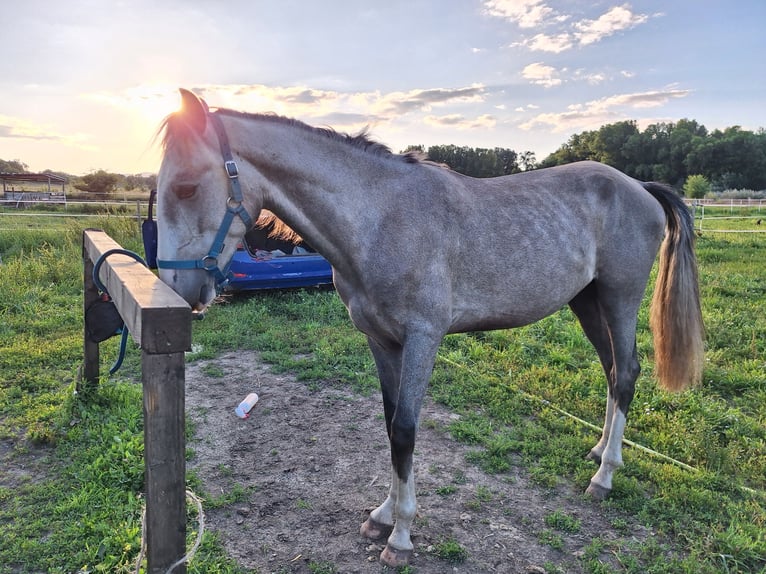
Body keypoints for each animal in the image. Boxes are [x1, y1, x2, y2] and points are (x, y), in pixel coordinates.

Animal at [156, 89, 708, 568]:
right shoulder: (381, 341)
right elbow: (389, 424)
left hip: (619, 299)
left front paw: (400, 536)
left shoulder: (424, 338)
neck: (381, 219)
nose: (179, 292)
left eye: (185, 187)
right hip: (587, 303)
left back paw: (604, 476)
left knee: (628, 372)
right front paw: (382, 516)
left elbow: (405, 430)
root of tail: (637, 187)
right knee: (613, 373)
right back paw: (600, 451)